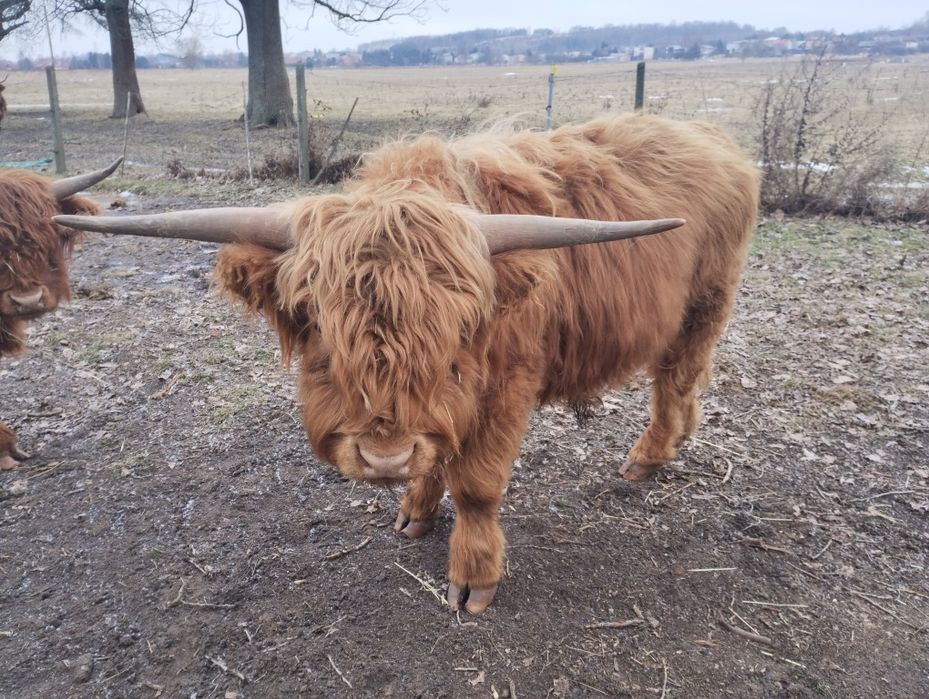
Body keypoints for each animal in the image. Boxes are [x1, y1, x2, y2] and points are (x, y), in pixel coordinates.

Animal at [56, 115, 759, 613]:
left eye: (451, 347)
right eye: (319, 339)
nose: (383, 458)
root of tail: (710, 135)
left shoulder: (506, 385)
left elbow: (476, 484)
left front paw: (473, 577)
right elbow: (437, 456)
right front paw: (415, 510)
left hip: (705, 303)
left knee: (676, 377)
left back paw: (650, 455)